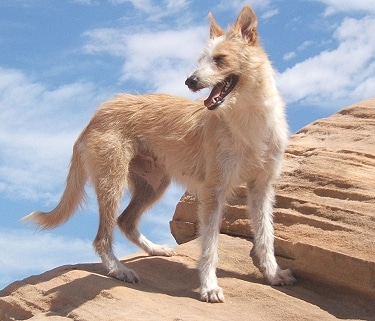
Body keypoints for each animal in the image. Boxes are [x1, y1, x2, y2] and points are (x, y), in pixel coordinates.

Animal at [23, 5, 296, 302]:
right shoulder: (213, 191)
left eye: (220, 59)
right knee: (103, 236)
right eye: (200, 60)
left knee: (126, 221)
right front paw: (209, 286)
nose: (189, 81)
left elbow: (266, 235)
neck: (248, 119)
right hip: (112, 182)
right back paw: (118, 270)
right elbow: (210, 246)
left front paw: (273, 274)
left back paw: (154, 250)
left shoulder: (261, 187)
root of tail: (96, 115)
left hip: (153, 183)